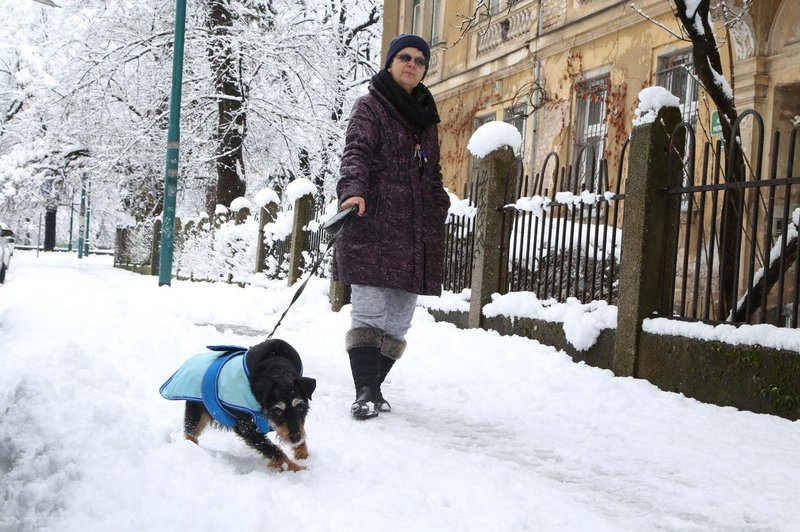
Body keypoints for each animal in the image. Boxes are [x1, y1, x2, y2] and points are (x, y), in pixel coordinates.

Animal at [160, 338, 316, 472]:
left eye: (300, 407)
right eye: (277, 410)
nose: (295, 438)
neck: (277, 369)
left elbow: (301, 441)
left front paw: (304, 456)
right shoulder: (246, 428)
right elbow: (273, 450)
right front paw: (297, 468)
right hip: (197, 412)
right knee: (190, 434)